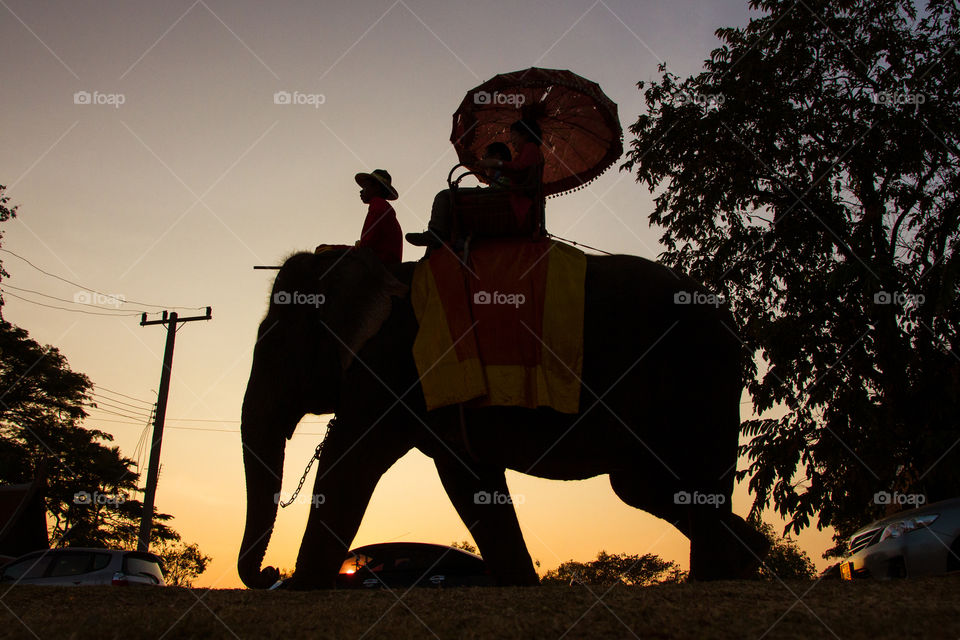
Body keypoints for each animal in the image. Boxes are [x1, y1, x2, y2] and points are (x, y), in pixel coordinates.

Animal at [240, 246, 772, 592]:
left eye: (274, 345)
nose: (269, 575)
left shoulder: (393, 366)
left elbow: (349, 464)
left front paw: (300, 590)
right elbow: (467, 480)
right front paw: (521, 584)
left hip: (701, 374)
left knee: (692, 476)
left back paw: (718, 578)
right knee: (646, 486)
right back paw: (748, 560)